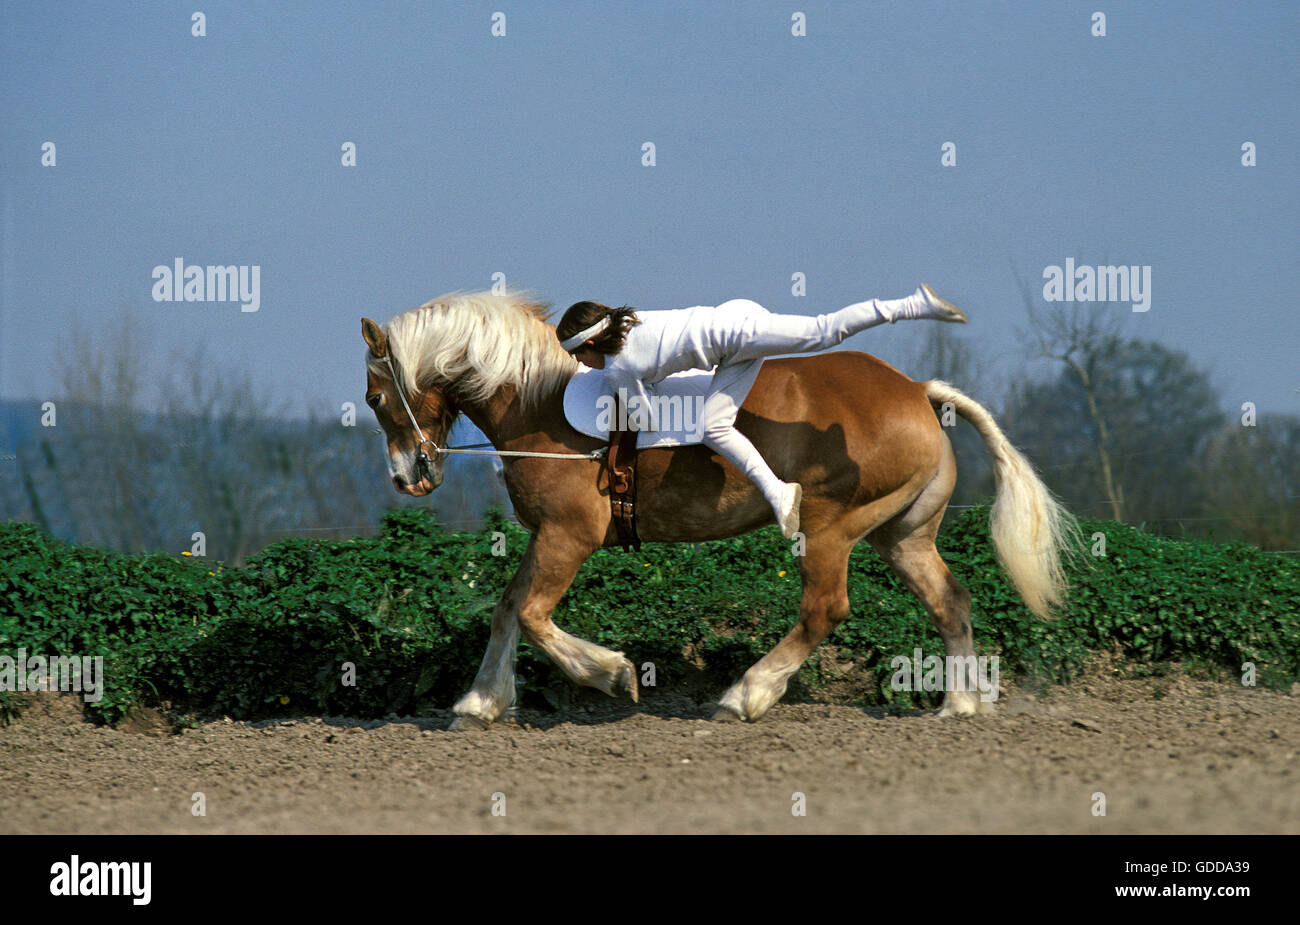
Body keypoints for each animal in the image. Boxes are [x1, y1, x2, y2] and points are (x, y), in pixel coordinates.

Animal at [361, 290, 1077, 729]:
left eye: (374, 396)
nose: (405, 477)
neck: (539, 404)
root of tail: (918, 391)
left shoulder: (567, 536)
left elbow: (533, 615)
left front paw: (613, 674)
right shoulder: (546, 538)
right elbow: (508, 609)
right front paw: (480, 702)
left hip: (832, 528)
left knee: (824, 608)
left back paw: (745, 694)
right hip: (902, 534)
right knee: (950, 602)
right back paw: (959, 705)